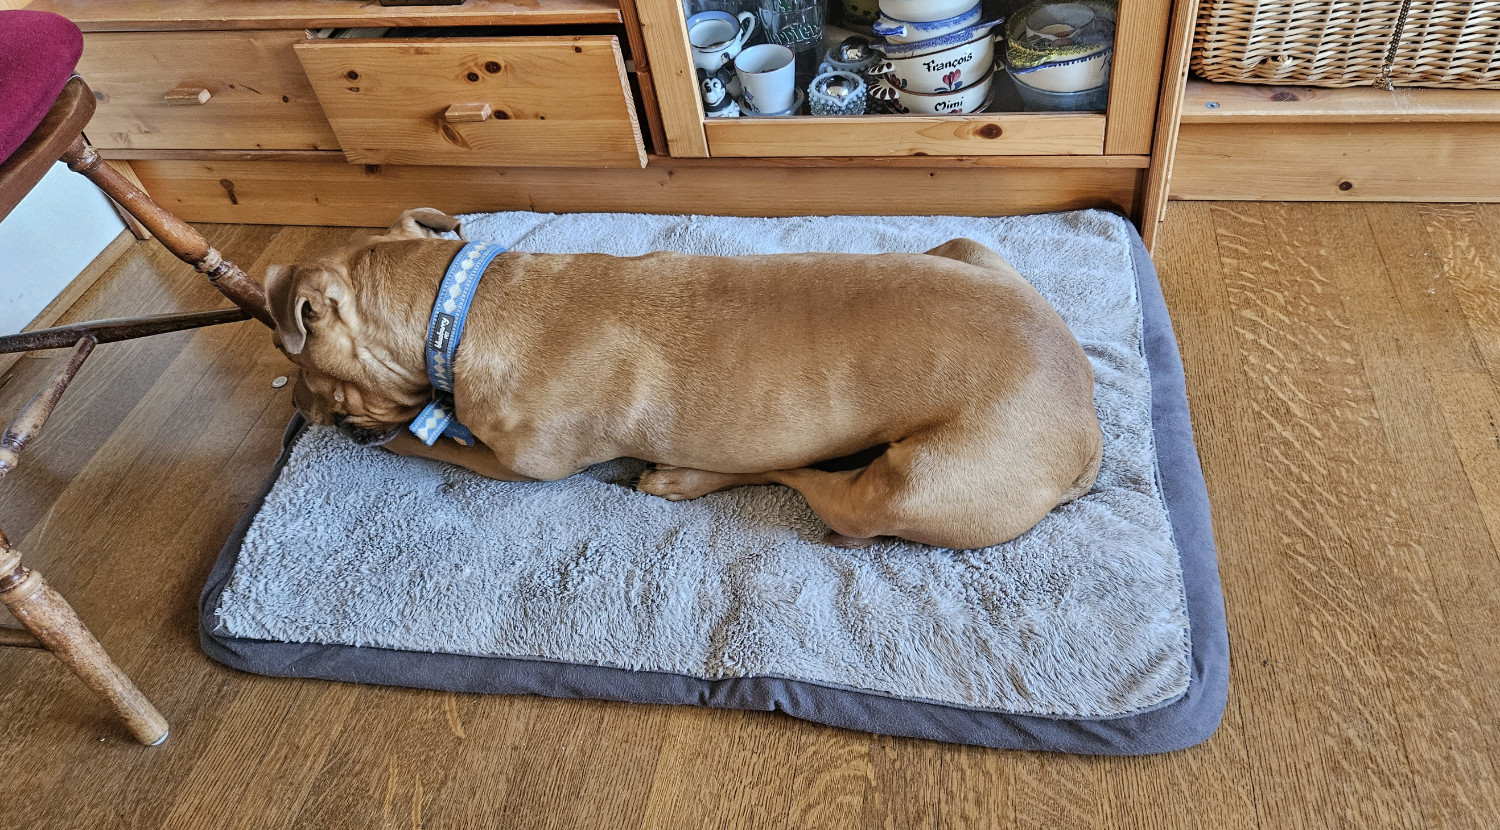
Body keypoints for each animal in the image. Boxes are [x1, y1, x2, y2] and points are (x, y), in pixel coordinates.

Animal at [261, 207, 1104, 549]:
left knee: (812, 481)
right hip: (964, 250)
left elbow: (421, 440)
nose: (294, 406)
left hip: (904, 487)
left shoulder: (521, 465)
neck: (460, 302)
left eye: (298, 359)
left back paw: (686, 477)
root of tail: (1088, 419)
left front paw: (383, 434)